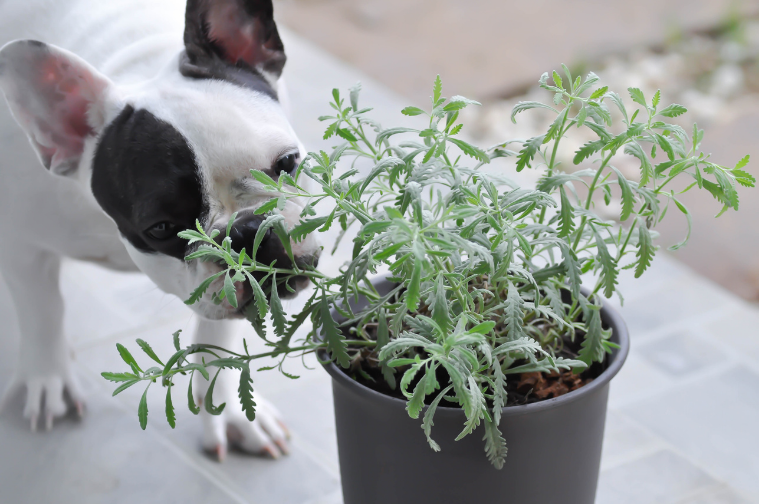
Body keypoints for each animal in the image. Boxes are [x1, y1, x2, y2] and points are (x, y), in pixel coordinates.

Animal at [0, 0, 320, 460]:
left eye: (288, 163)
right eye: (162, 228)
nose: (245, 233)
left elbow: (218, 335)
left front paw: (227, 410)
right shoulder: (21, 244)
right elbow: (43, 311)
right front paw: (49, 379)